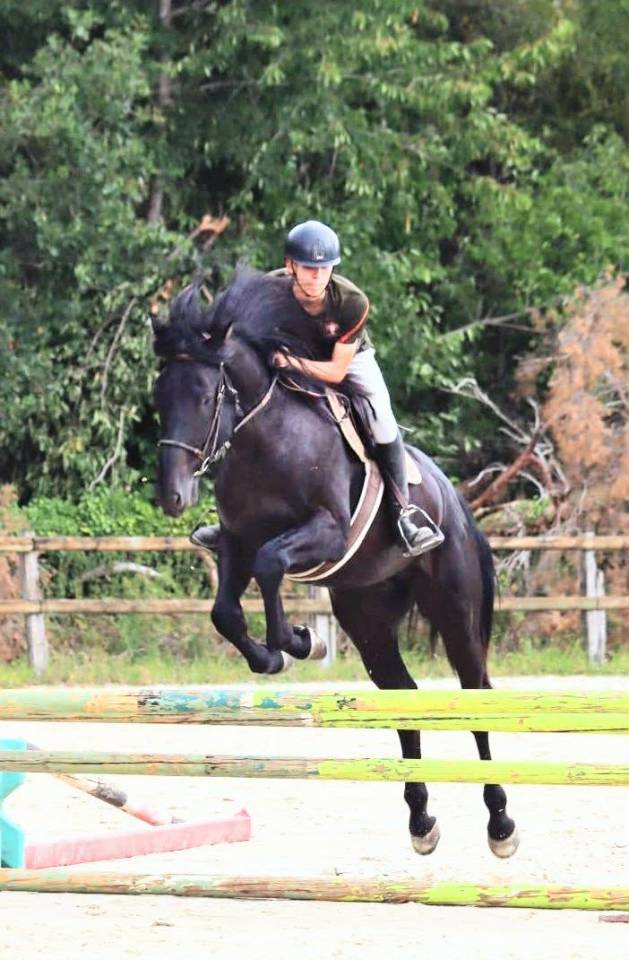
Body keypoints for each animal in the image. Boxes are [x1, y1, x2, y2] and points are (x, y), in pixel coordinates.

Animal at [152, 267, 519, 858]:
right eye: (160, 396)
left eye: (207, 396)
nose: (172, 496)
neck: (263, 440)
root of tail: (455, 500)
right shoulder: (235, 542)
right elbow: (225, 611)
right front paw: (279, 653)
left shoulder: (326, 532)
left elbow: (272, 564)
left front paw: (295, 641)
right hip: (366, 613)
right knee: (403, 697)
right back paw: (421, 820)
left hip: (454, 608)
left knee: (475, 692)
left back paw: (501, 822)